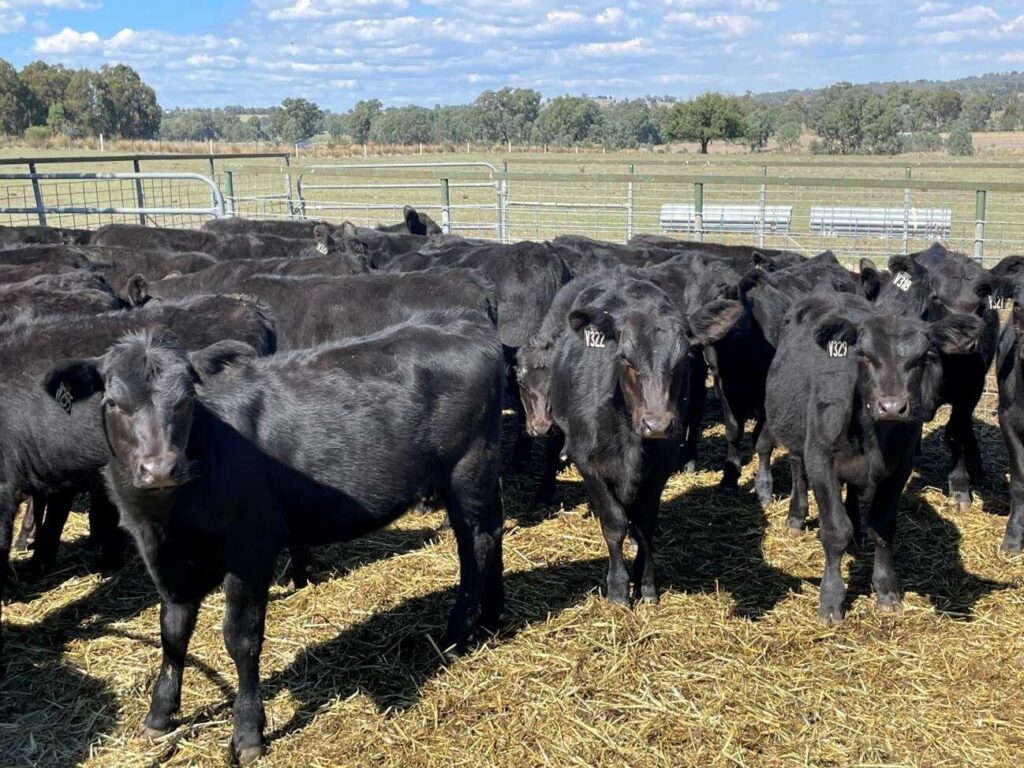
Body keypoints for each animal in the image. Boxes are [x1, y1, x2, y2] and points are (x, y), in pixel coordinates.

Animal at [42, 309, 504, 763]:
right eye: (113, 403)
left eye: (187, 400)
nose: (160, 469)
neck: (168, 517)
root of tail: (466, 325)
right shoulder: (165, 557)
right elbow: (172, 632)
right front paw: (159, 715)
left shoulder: (249, 549)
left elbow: (240, 639)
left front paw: (248, 733)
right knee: (494, 534)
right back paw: (493, 618)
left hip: (466, 467)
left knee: (476, 544)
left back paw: (456, 635)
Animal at [549, 274, 742, 604]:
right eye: (625, 358)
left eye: (683, 358)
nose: (657, 424)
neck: (630, 442)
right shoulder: (589, 464)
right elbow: (614, 524)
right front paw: (618, 588)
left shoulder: (660, 469)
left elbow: (644, 525)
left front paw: (647, 584)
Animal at [760, 291, 984, 622]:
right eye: (863, 355)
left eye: (922, 357)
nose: (891, 406)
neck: (871, 435)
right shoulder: (821, 460)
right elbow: (834, 531)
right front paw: (831, 599)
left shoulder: (899, 468)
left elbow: (883, 527)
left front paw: (886, 590)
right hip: (797, 436)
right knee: (797, 468)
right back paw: (796, 515)